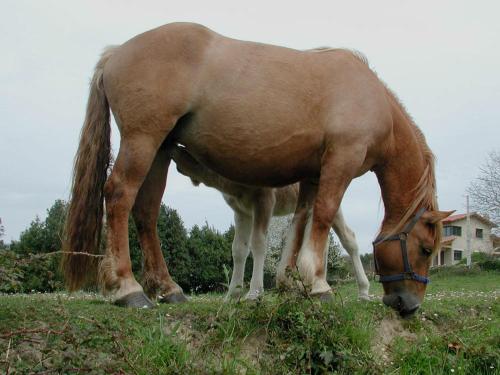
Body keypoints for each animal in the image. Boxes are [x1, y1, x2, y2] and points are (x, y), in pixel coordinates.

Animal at [62, 22, 454, 318]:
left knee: (146, 211)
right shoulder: (339, 162)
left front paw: (290, 283)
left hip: (159, 150)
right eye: (424, 249)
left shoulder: (312, 174)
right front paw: (317, 284)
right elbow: (322, 217)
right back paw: (127, 288)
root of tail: (116, 53)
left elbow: (301, 222)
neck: (370, 98)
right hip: (142, 141)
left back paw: (168, 287)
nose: (409, 305)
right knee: (119, 197)